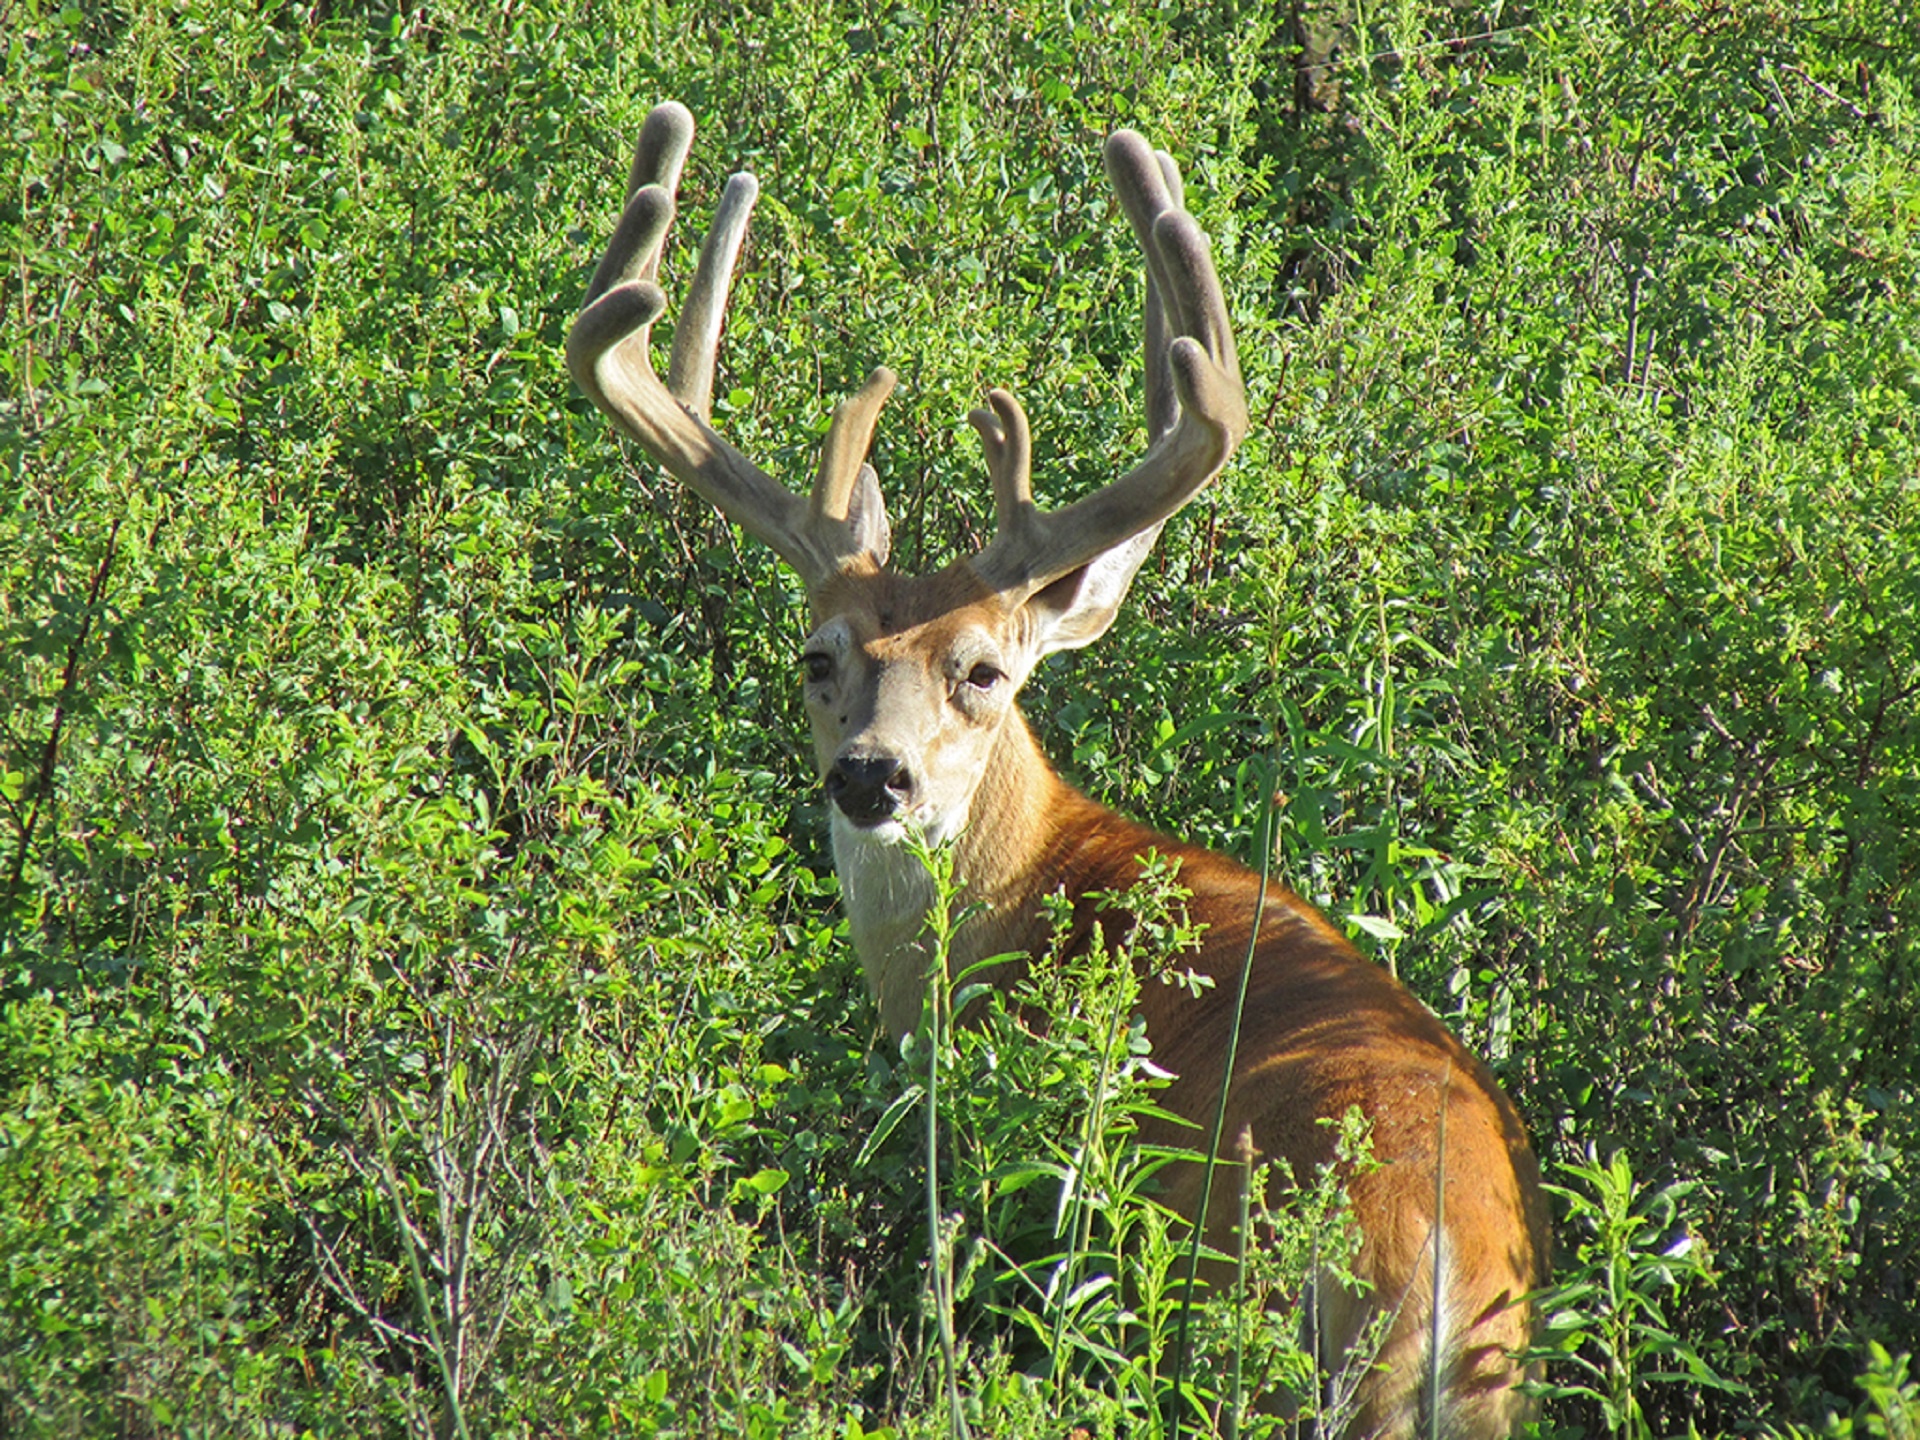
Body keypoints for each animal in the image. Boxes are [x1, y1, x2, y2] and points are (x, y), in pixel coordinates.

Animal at [560, 104, 1551, 1440]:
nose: (872, 778)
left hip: (1231, 1317)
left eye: (983, 670)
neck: (1026, 886)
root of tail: (1443, 1269)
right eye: (817, 656)